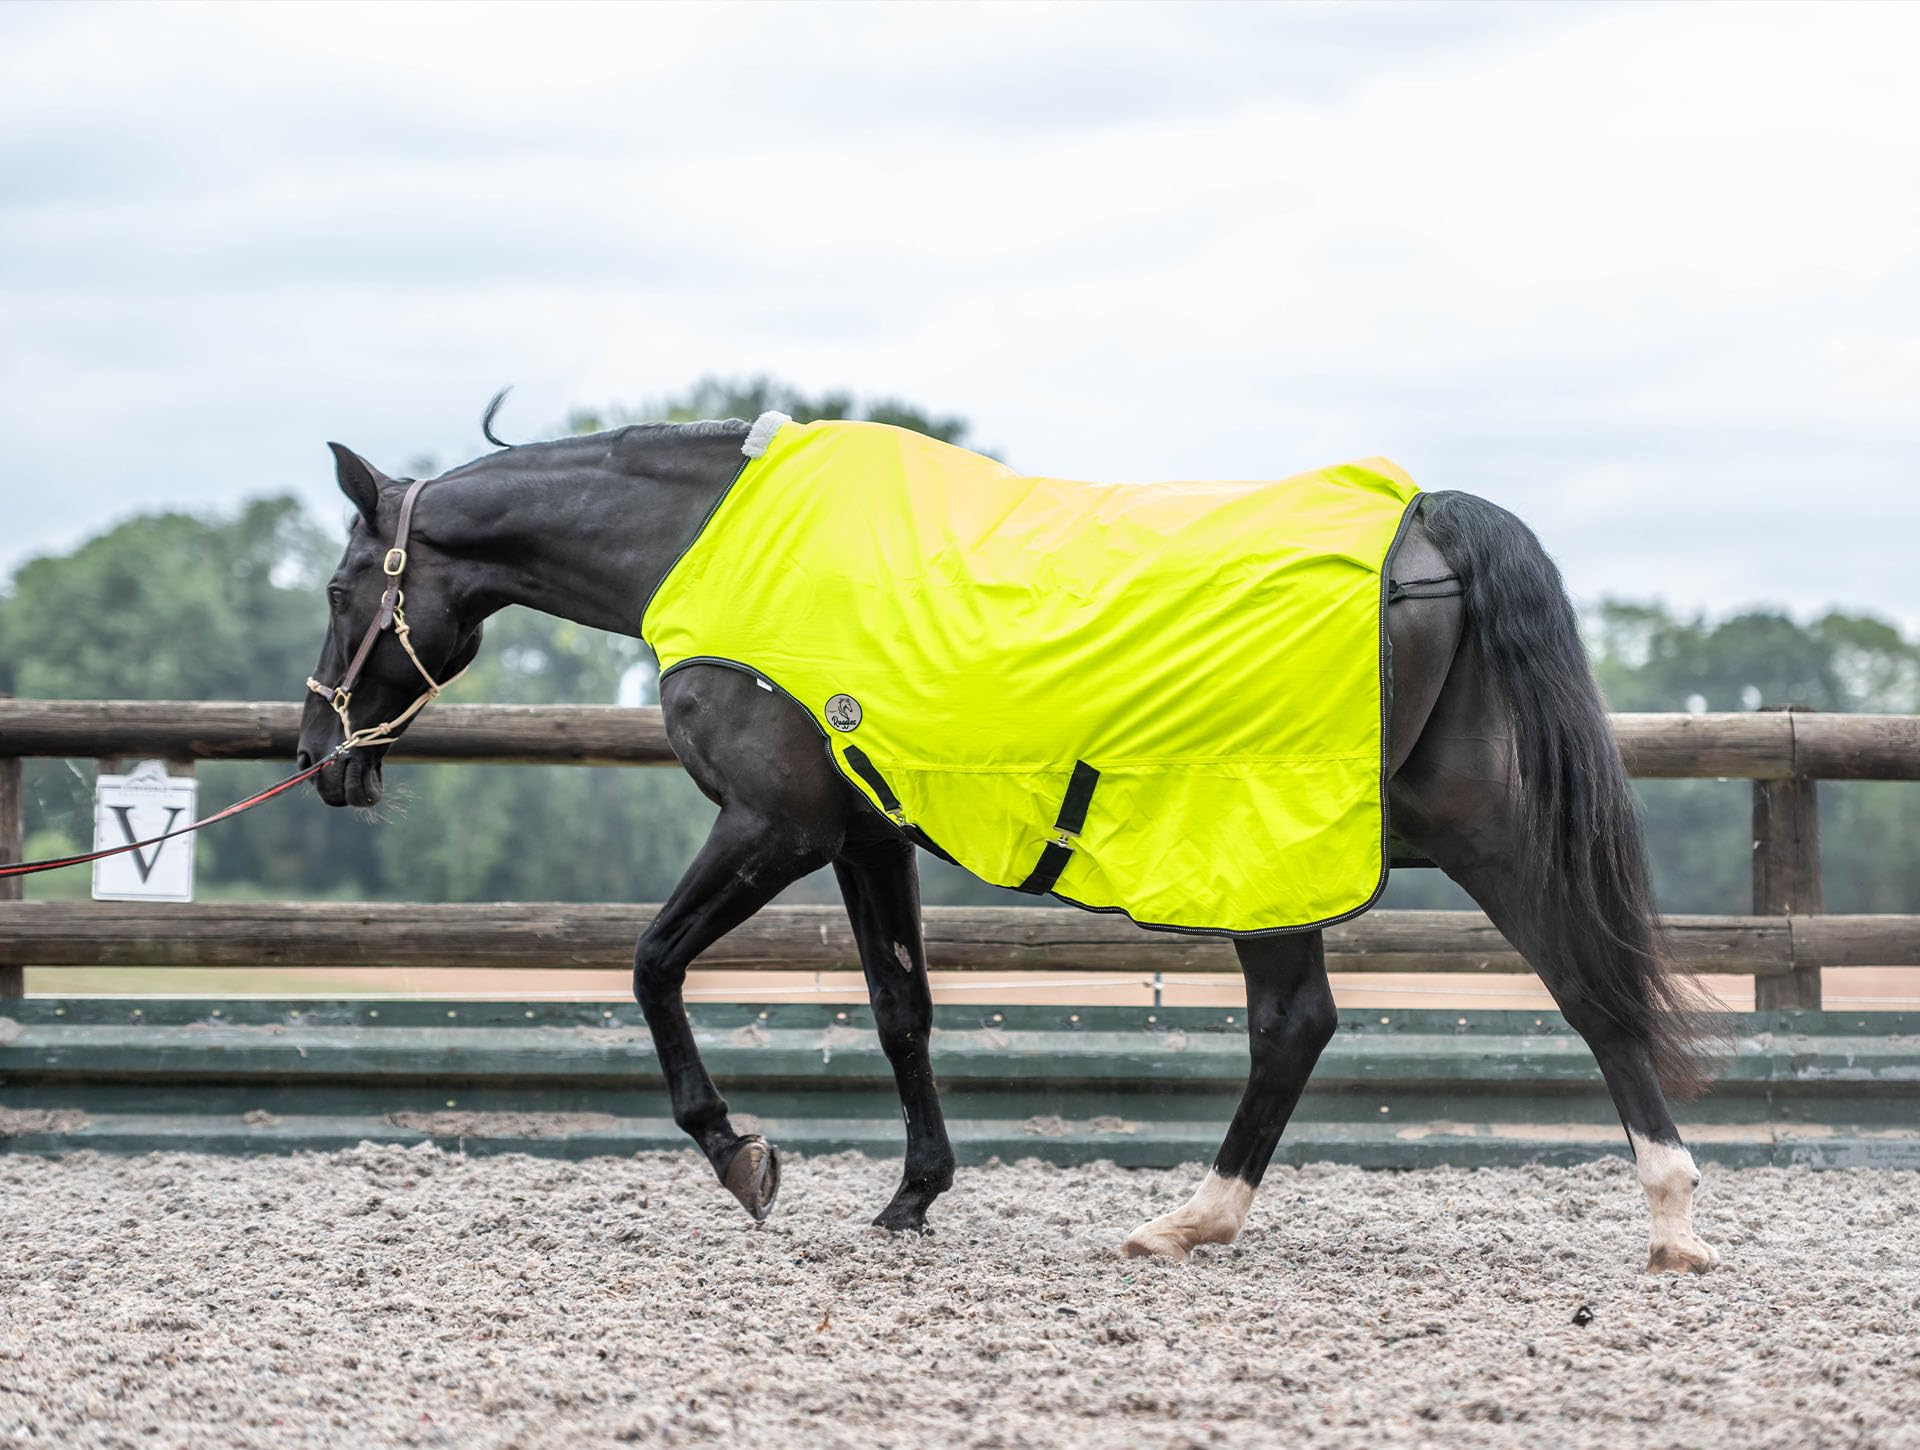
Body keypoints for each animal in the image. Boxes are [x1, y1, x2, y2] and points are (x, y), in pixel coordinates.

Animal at [296, 411, 1718, 1276]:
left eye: (339, 583)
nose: (319, 758)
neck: (722, 546)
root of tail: (1423, 521)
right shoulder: (865, 834)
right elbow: (901, 1012)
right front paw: (912, 1194)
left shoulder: (774, 824)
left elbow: (651, 965)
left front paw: (742, 1155)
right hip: (1411, 834)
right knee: (1568, 993)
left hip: (1296, 845)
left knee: (1328, 1020)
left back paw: (1197, 1218)